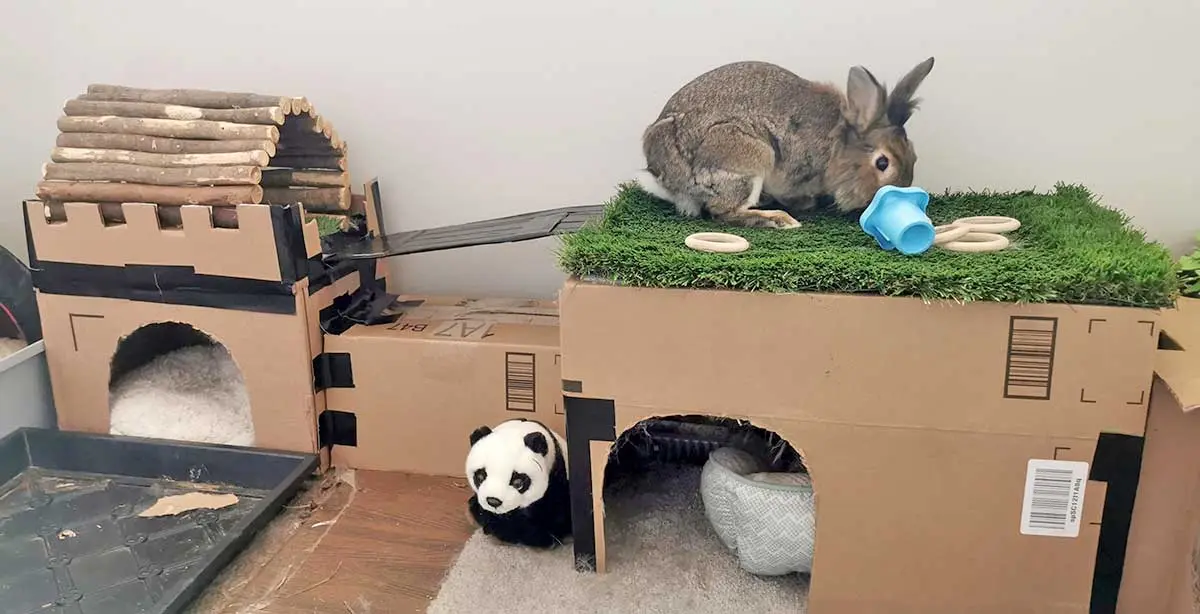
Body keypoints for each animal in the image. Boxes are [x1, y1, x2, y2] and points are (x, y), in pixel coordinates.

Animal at [638, 57, 936, 229]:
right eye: (882, 163)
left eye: (914, 156)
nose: (901, 191)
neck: (836, 146)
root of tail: (665, 178)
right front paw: (804, 205)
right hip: (749, 158)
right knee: (723, 212)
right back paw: (779, 219)